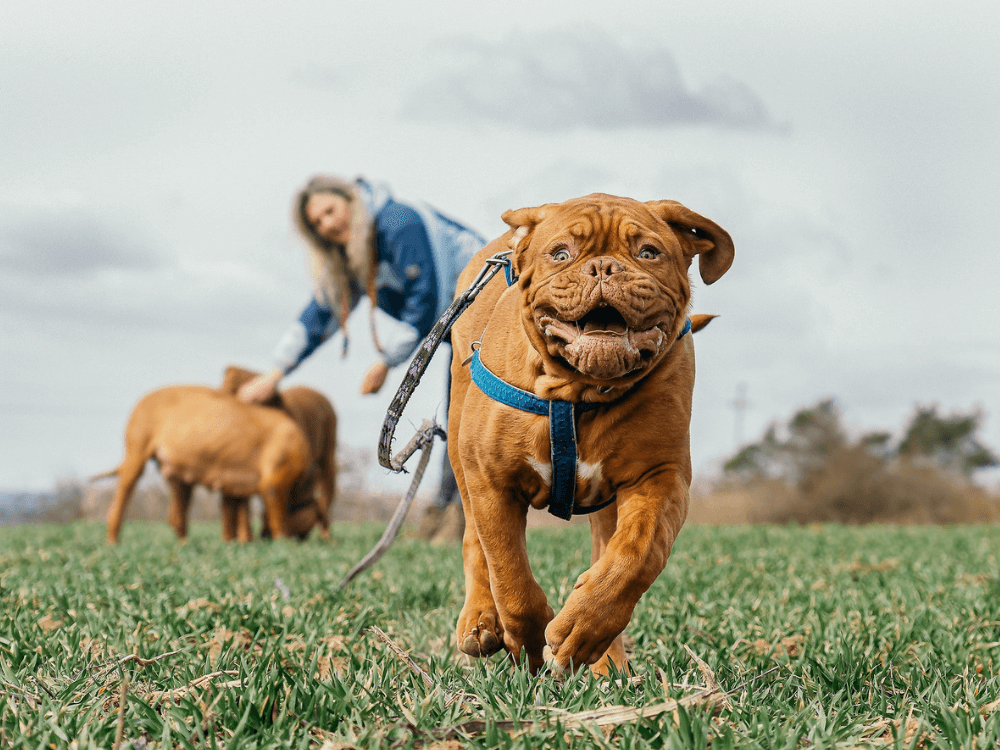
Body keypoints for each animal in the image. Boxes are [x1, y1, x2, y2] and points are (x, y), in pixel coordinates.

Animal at [101, 384, 312, 544]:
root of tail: (141, 401)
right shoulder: (275, 482)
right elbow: (278, 518)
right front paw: (283, 543)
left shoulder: (235, 486)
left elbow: (233, 512)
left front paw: (236, 543)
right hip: (137, 447)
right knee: (121, 498)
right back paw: (113, 542)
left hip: (177, 476)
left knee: (176, 515)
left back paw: (184, 544)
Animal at [450, 192, 732, 676]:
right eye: (561, 254)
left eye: (647, 253)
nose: (602, 268)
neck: (577, 391)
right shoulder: (492, 481)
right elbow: (509, 575)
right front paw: (528, 644)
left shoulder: (659, 475)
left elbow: (637, 554)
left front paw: (580, 631)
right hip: (457, 446)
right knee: (474, 542)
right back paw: (480, 620)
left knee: (606, 551)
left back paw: (605, 659)